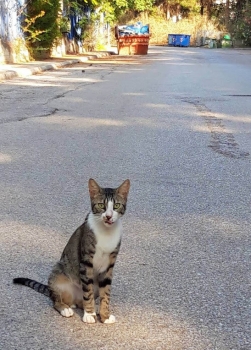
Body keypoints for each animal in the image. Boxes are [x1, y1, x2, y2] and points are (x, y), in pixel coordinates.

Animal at [12, 179, 130, 324]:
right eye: (101, 205)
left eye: (116, 206)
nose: (108, 216)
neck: (106, 233)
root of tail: (74, 299)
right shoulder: (86, 262)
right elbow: (88, 292)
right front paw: (89, 314)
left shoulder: (109, 266)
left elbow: (106, 293)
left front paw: (105, 315)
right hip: (57, 273)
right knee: (57, 299)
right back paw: (66, 308)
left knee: (83, 300)